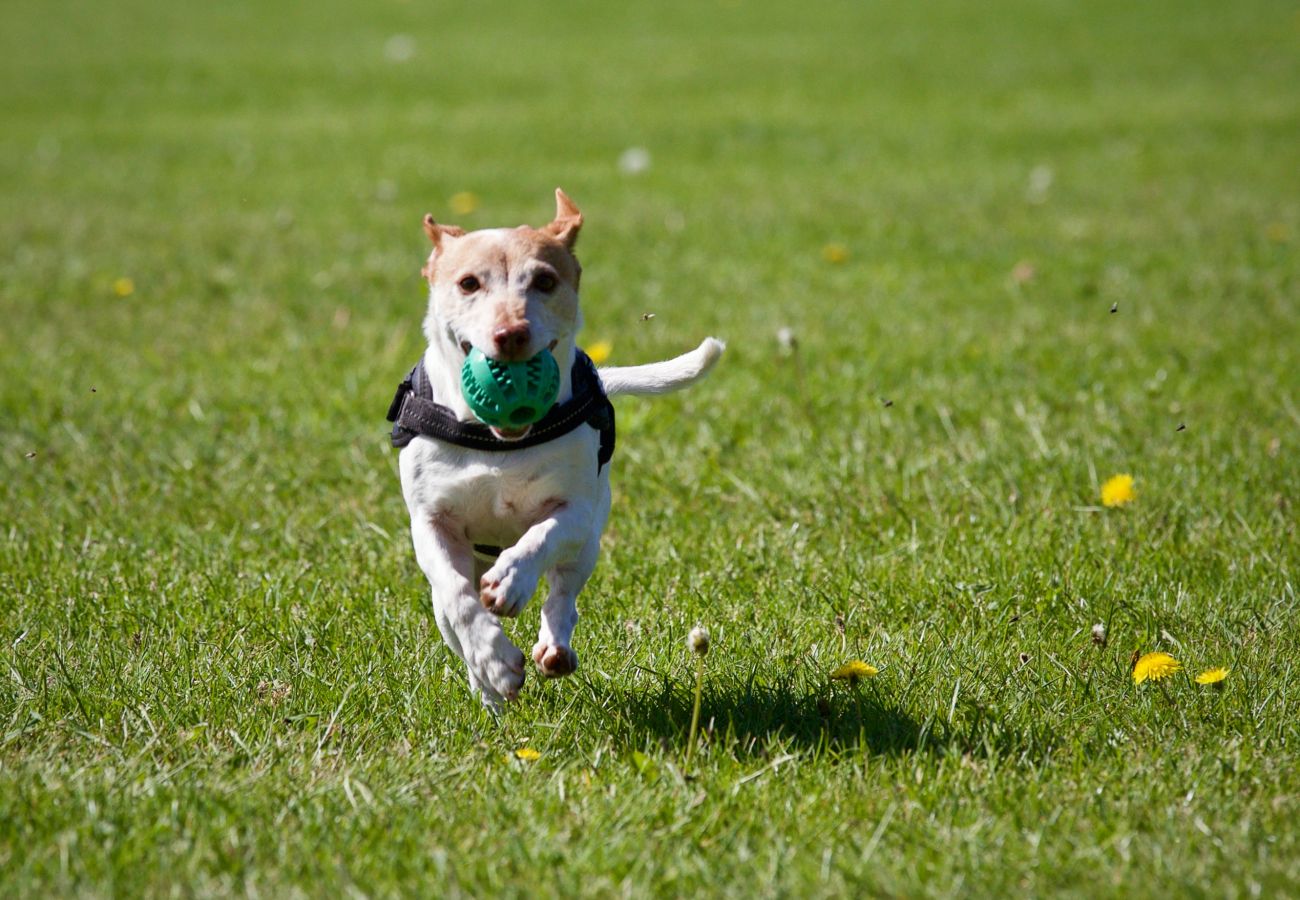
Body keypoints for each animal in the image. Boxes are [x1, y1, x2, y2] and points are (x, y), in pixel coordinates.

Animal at [390, 191, 728, 712]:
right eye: (468, 283)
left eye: (545, 281)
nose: (511, 334)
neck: (498, 442)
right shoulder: (431, 523)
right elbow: (458, 597)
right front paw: (495, 661)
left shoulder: (576, 511)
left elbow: (541, 538)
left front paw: (512, 580)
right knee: (453, 617)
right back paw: (489, 693)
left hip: (589, 542)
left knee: (564, 593)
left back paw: (553, 646)